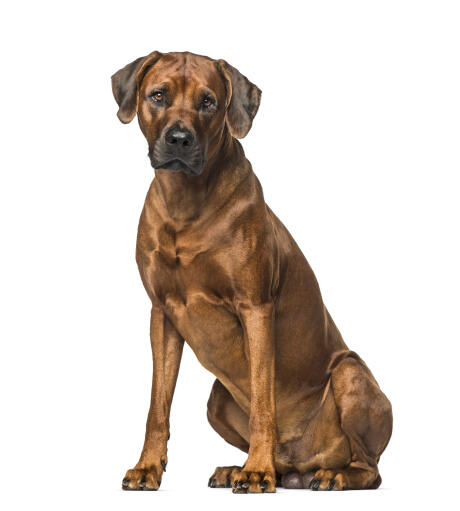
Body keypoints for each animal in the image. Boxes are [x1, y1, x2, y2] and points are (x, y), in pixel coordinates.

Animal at [110, 51, 392, 492]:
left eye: (208, 102)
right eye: (158, 96)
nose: (179, 139)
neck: (185, 204)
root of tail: (301, 461)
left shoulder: (255, 308)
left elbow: (263, 401)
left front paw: (258, 470)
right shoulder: (162, 313)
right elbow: (157, 406)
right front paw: (148, 467)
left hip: (349, 373)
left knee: (371, 468)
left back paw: (325, 474)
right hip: (216, 399)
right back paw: (240, 468)